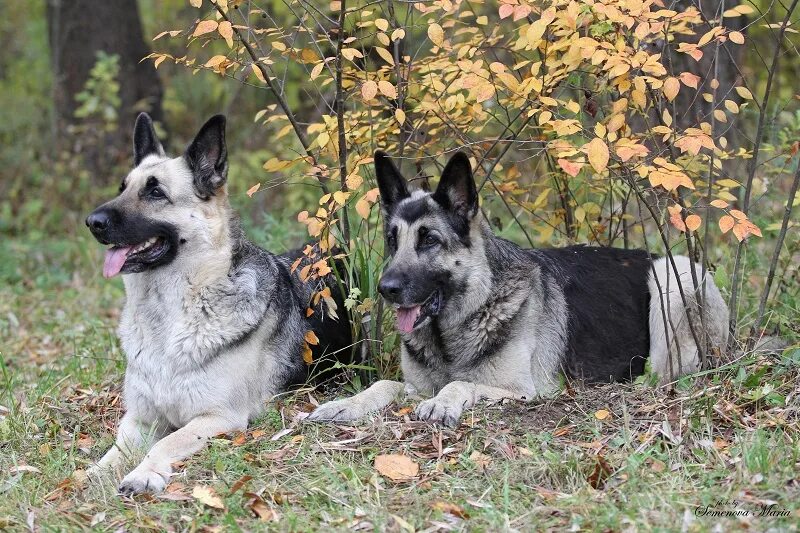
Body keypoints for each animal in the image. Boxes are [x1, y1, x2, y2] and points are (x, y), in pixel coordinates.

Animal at [308, 152, 732, 426]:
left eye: (429, 240)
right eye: (392, 241)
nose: (386, 288)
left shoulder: (524, 390)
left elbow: (463, 382)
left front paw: (445, 403)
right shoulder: (414, 384)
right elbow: (384, 383)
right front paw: (347, 403)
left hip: (674, 277)